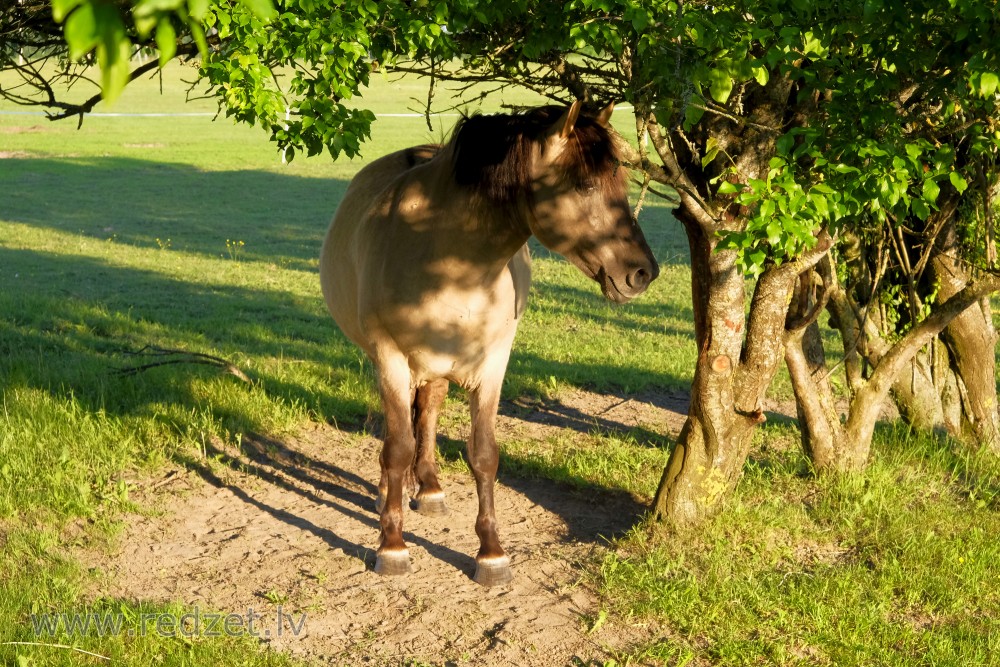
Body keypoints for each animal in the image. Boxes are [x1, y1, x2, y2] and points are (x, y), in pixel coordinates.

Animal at [320, 102, 660, 588]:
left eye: (621, 183)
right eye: (584, 185)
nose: (642, 272)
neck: (446, 260)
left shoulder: (493, 365)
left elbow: (483, 454)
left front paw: (491, 553)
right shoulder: (390, 358)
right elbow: (398, 447)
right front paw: (392, 545)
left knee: (429, 410)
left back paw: (429, 488)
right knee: (400, 428)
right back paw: (391, 491)